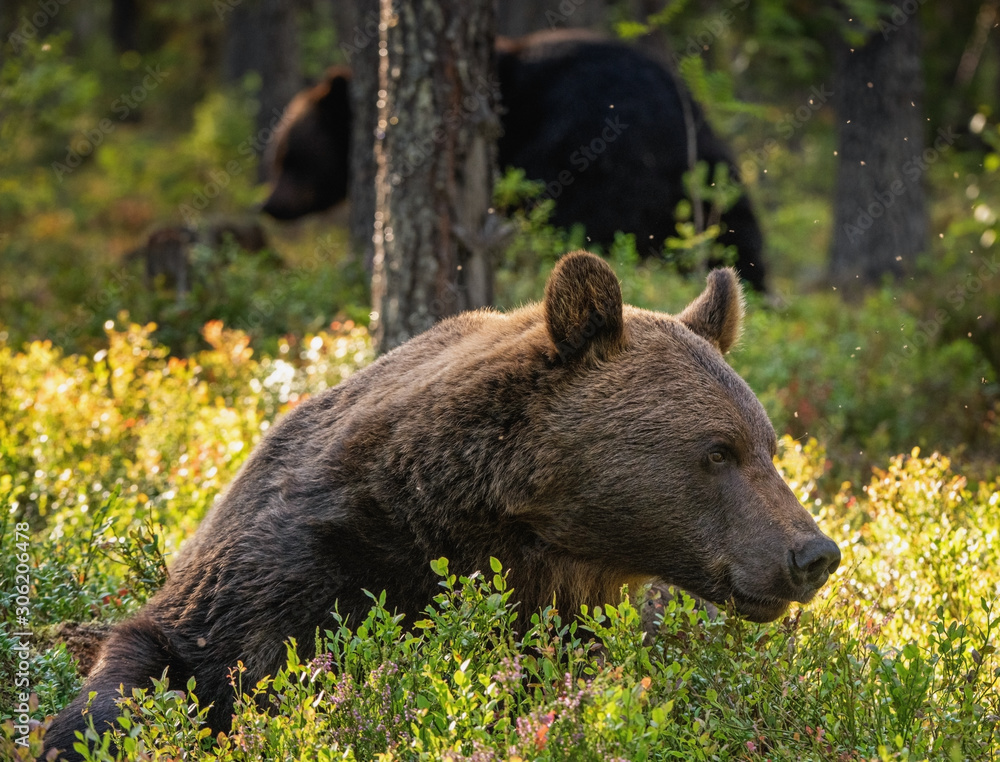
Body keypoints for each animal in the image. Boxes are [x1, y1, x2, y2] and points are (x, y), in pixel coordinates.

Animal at [44, 252, 837, 759]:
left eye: (769, 445)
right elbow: (170, 653)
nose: (814, 553)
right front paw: (78, 732)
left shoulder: (570, 616)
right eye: (718, 451)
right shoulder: (295, 563)